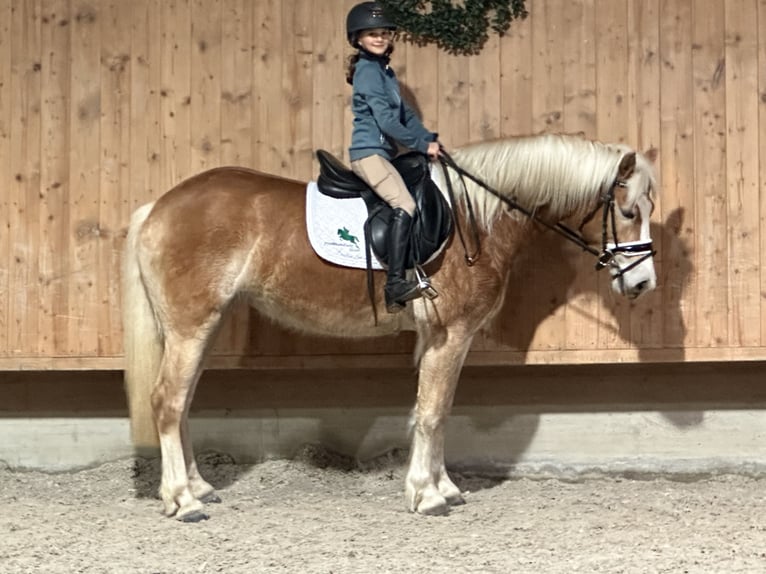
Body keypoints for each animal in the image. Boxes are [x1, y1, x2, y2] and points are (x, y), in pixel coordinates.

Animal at [121, 134, 660, 520]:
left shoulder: (445, 340)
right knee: (167, 401)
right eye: (628, 211)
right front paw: (428, 496)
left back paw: (199, 488)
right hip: (191, 327)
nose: (643, 282)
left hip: (200, 328)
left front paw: (443, 488)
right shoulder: (451, 335)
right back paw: (182, 501)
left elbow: (435, 410)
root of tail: (160, 206)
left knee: (182, 403)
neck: (475, 220)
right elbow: (433, 413)